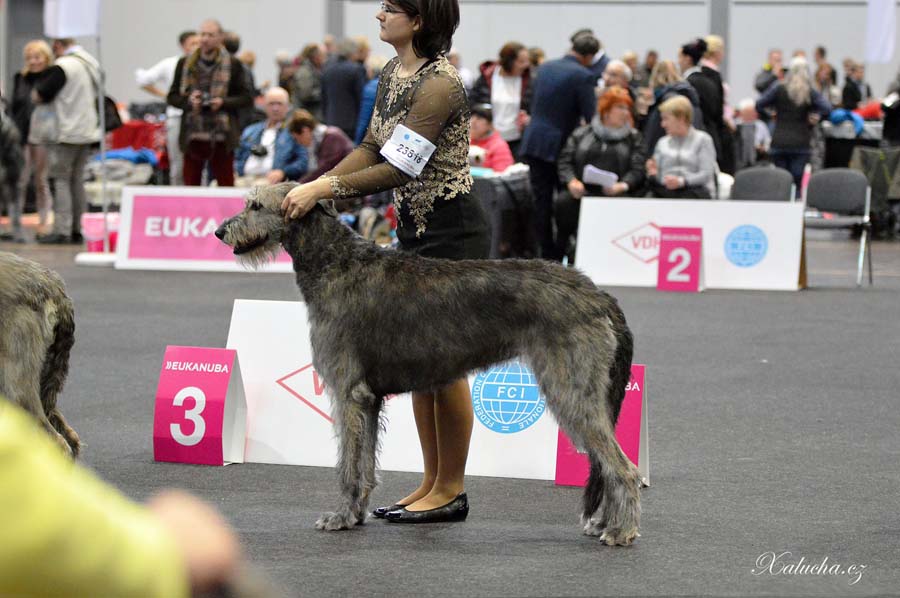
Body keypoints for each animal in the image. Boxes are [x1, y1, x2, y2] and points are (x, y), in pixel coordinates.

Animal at [217, 184, 640, 548]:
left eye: (256, 206)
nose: (220, 231)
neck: (334, 261)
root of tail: (599, 294)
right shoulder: (369, 398)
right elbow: (365, 463)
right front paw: (357, 513)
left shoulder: (348, 392)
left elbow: (347, 465)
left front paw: (339, 516)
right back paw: (607, 523)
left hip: (570, 387)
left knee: (624, 467)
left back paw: (622, 530)